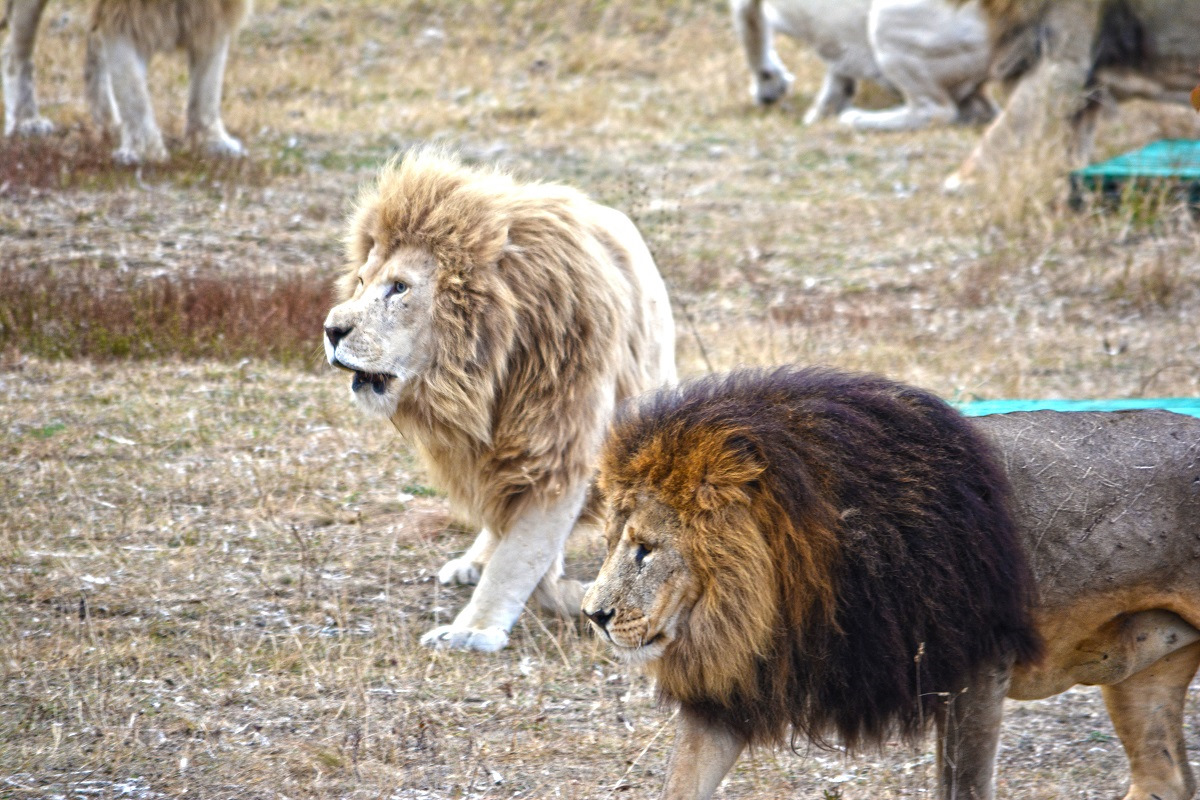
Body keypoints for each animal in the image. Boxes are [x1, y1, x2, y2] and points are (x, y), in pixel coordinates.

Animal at [324, 148, 681, 652]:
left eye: (399, 287)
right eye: (359, 281)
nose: (331, 330)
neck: (489, 371)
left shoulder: (562, 447)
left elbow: (520, 554)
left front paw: (473, 629)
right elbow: (520, 548)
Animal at [585, 364, 1200, 800]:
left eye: (645, 549)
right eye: (611, 541)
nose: (594, 615)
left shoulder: (978, 668)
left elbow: (962, 789)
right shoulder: (736, 690)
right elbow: (681, 782)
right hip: (1143, 677)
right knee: (1164, 780)